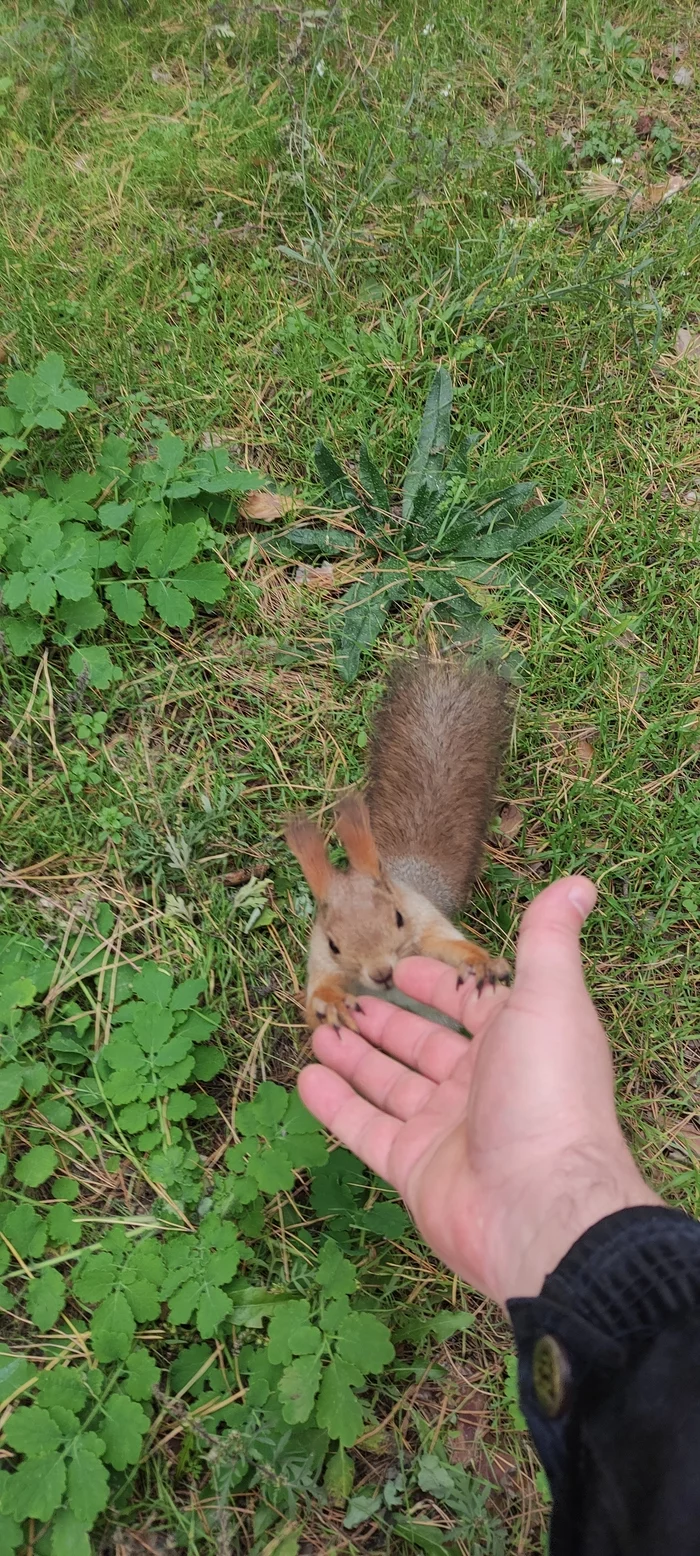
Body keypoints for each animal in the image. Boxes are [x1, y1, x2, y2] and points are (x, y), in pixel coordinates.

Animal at [285, 659, 513, 1031]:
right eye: (333, 944)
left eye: (398, 918)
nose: (381, 973)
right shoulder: (320, 962)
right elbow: (317, 998)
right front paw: (330, 1004)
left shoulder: (425, 924)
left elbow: (447, 946)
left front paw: (478, 962)